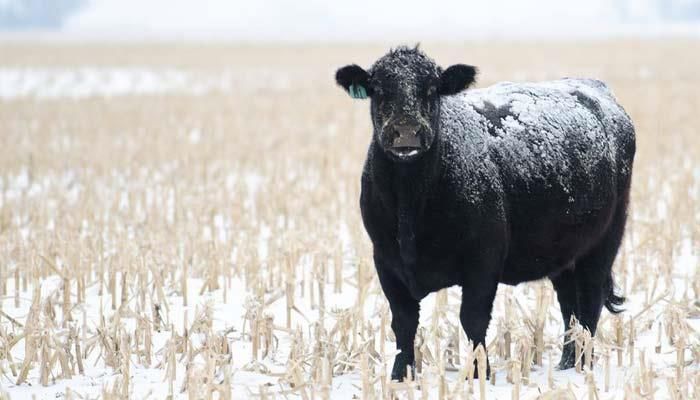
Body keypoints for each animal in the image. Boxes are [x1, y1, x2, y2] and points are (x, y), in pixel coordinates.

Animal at [334, 45, 635, 381]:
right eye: (378, 89)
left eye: (432, 89)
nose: (406, 132)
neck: (410, 205)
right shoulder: (386, 260)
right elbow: (403, 322)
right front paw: (401, 375)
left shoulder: (483, 259)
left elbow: (473, 319)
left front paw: (478, 374)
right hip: (564, 253)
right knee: (570, 305)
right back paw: (567, 362)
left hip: (604, 243)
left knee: (589, 305)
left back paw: (582, 365)